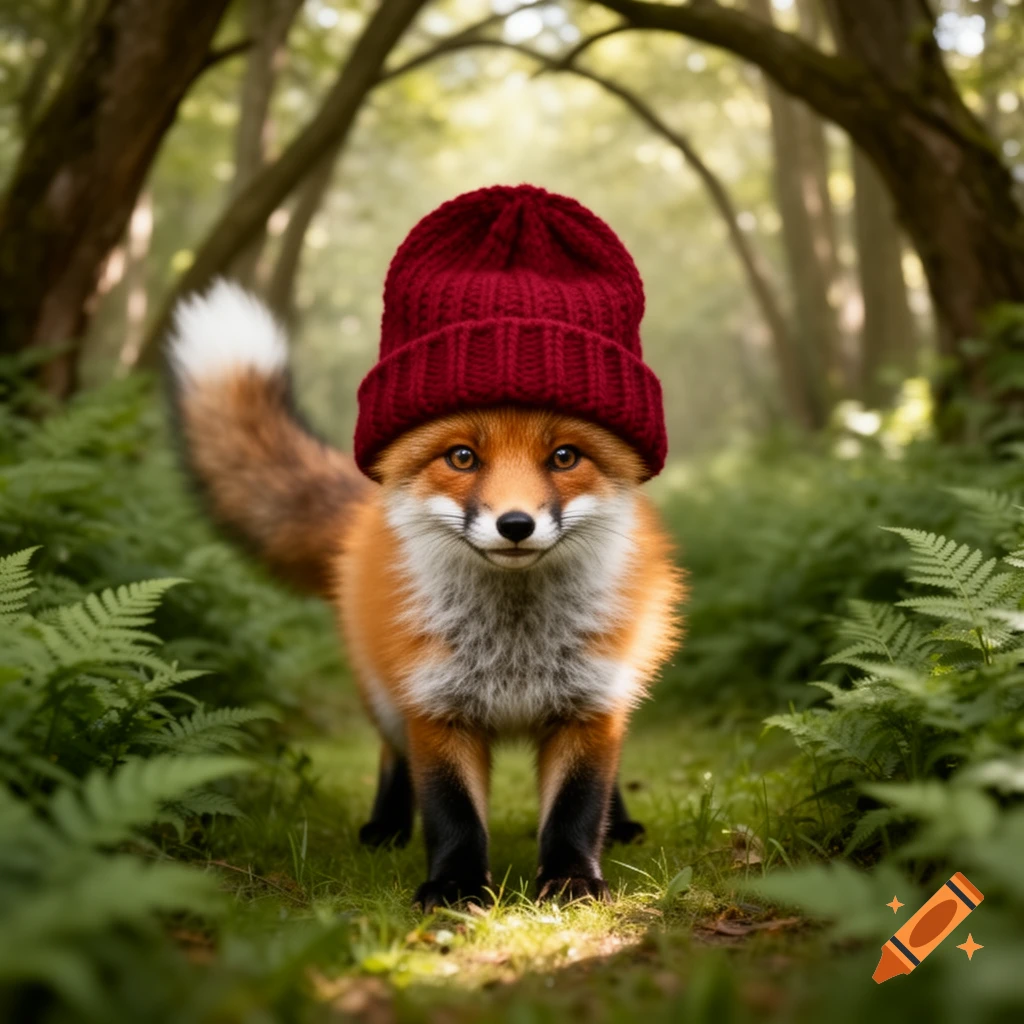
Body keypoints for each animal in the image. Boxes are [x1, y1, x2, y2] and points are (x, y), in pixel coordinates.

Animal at [168, 188, 683, 911]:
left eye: (565, 457)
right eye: (462, 457)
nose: (516, 524)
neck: (514, 649)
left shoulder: (590, 707)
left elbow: (578, 809)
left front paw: (574, 879)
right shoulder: (436, 706)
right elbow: (452, 813)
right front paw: (454, 887)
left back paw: (622, 826)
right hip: (385, 696)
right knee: (393, 760)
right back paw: (385, 828)